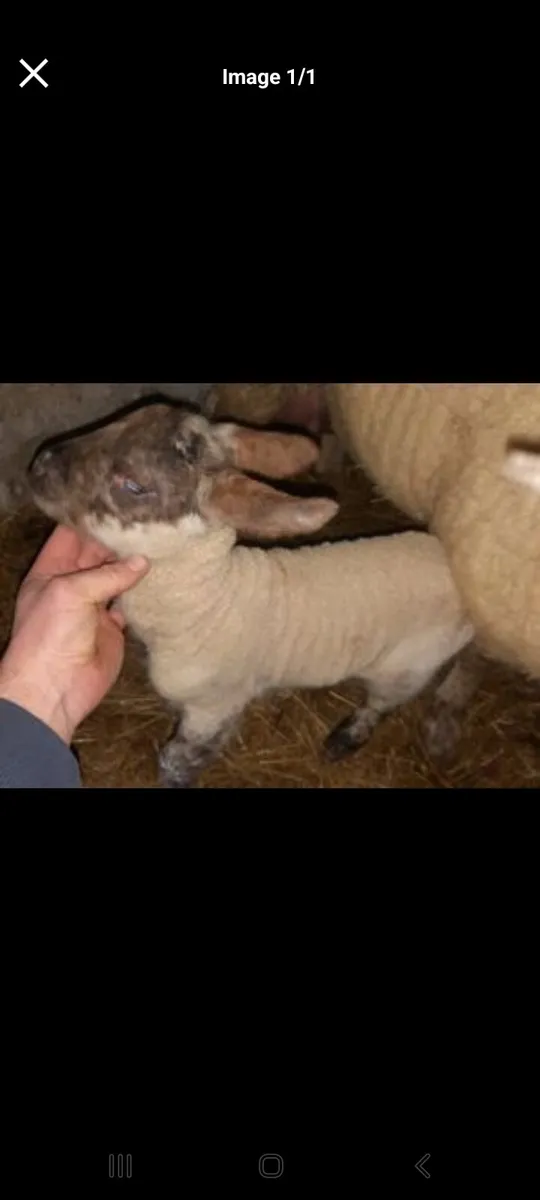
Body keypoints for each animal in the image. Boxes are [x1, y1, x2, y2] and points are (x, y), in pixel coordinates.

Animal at [27, 395, 474, 788]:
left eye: (134, 486)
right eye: (118, 420)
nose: (38, 466)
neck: (208, 602)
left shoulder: (212, 707)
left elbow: (177, 760)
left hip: (408, 666)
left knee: (382, 704)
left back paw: (345, 738)